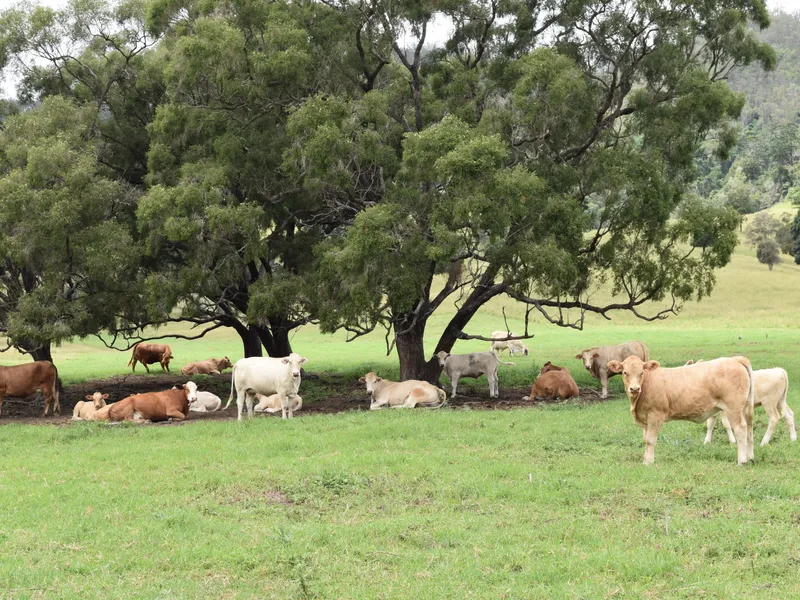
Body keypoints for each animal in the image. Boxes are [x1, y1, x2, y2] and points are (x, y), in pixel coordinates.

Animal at [607, 356, 755, 465]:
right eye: (625, 372)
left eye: (641, 372)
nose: (635, 388)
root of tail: (735, 359)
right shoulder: (645, 419)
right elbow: (645, 440)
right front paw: (645, 460)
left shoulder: (655, 415)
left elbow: (650, 440)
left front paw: (649, 462)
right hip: (745, 407)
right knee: (749, 429)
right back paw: (750, 457)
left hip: (733, 408)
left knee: (740, 429)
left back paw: (742, 461)